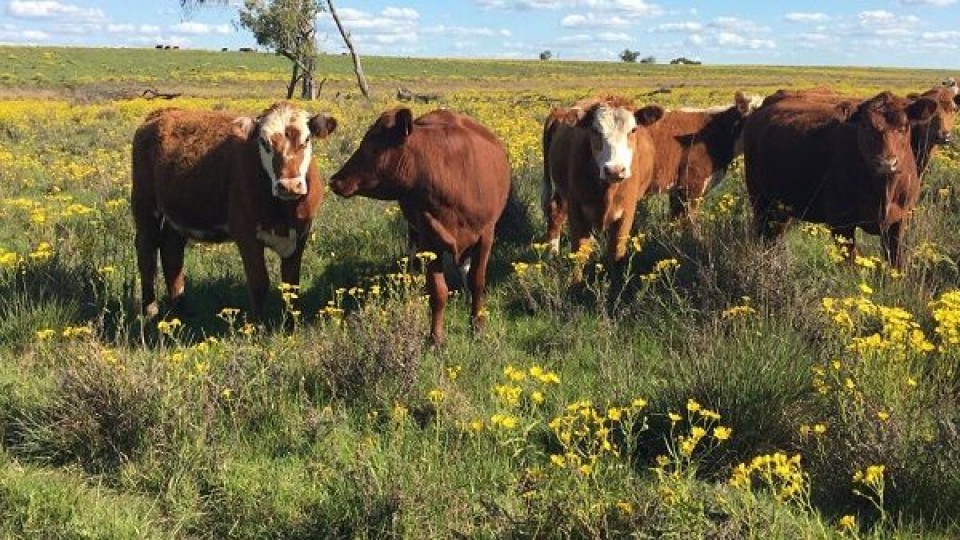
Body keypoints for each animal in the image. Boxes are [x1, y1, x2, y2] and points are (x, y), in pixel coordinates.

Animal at [130, 102, 342, 320]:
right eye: (264, 142)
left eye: (306, 139)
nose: (289, 186)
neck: (285, 211)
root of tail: (162, 112)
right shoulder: (246, 234)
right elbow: (259, 283)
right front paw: (257, 325)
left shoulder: (300, 235)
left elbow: (291, 285)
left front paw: (291, 323)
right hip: (144, 204)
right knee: (146, 251)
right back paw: (150, 310)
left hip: (179, 214)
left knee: (171, 252)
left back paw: (180, 310)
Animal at [328, 108, 510, 346]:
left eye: (373, 147)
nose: (335, 180)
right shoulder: (429, 240)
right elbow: (438, 291)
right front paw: (435, 338)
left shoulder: (486, 235)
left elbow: (477, 282)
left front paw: (477, 326)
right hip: (414, 232)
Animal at [540, 94, 668, 274]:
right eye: (595, 131)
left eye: (633, 130)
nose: (614, 170)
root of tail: (561, 111)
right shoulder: (576, 208)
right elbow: (579, 253)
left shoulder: (627, 212)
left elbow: (616, 253)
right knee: (556, 213)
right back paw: (552, 254)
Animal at [744, 91, 936, 268]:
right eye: (866, 126)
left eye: (904, 127)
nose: (886, 162)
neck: (884, 191)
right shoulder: (841, 223)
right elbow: (849, 263)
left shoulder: (899, 221)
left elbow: (896, 262)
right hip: (759, 199)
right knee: (763, 234)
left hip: (780, 206)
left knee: (775, 235)